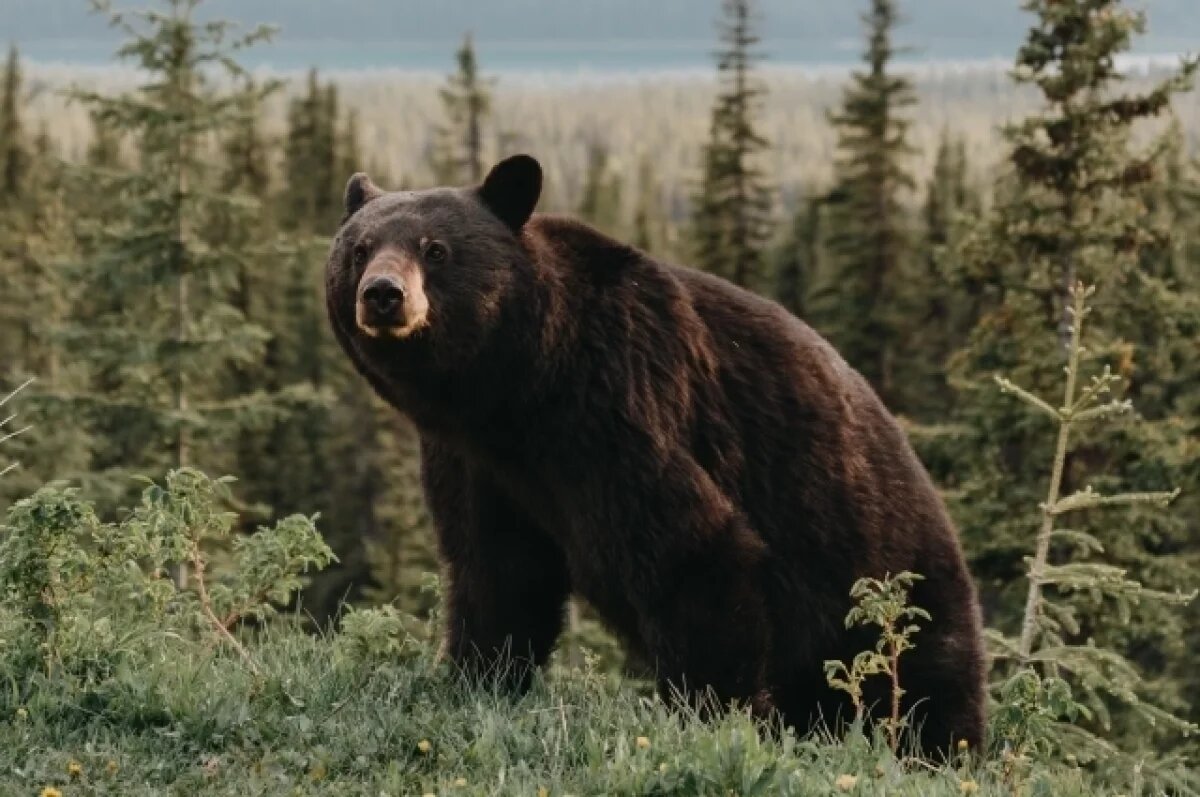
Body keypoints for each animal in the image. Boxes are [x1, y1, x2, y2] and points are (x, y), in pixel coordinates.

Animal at [326, 153, 984, 753]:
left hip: (890, 586)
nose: (382, 295)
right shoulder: (475, 462)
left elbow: (692, 550)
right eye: (359, 249)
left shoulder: (620, 406)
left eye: (435, 249)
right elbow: (495, 570)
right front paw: (474, 678)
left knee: (927, 688)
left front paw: (711, 715)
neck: (517, 391)